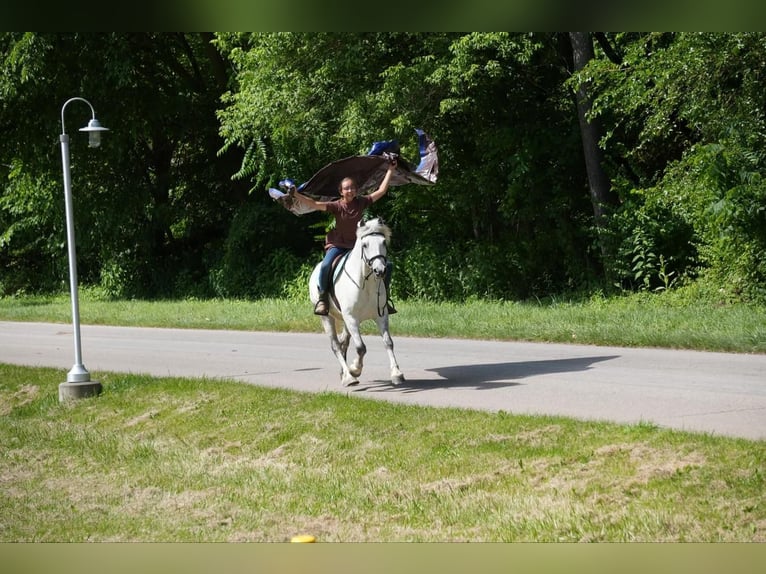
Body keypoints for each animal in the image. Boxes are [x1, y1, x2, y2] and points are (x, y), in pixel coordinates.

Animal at [308, 218, 404, 390]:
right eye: (365, 245)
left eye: (384, 242)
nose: (380, 270)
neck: (366, 283)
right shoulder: (351, 318)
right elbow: (361, 347)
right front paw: (355, 369)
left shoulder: (381, 316)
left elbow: (388, 342)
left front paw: (396, 374)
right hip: (327, 318)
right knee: (336, 345)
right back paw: (348, 377)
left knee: (343, 343)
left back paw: (344, 373)